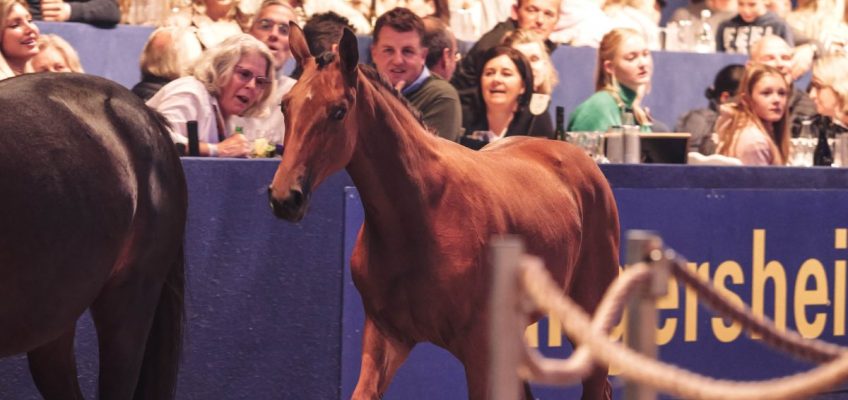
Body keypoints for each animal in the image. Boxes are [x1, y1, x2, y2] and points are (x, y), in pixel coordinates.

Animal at [268, 25, 620, 400]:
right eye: (285, 105)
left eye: (339, 111)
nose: (285, 197)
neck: (422, 215)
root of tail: (580, 158)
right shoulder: (387, 337)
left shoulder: (479, 352)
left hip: (587, 320)